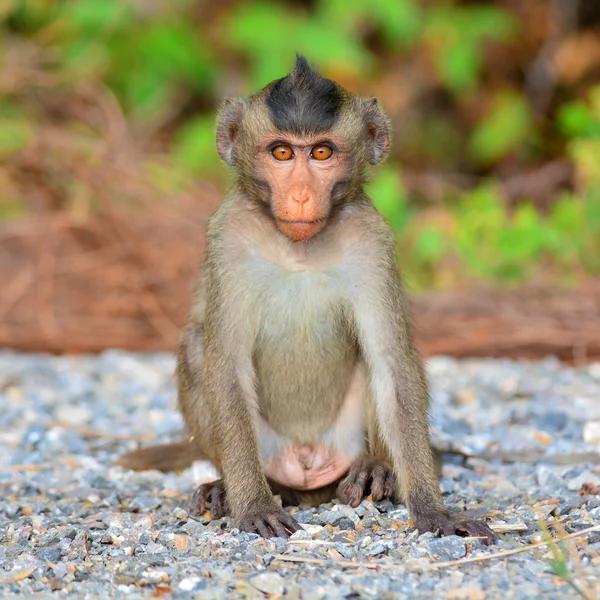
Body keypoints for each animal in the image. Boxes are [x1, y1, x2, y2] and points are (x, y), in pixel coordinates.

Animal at [118, 56, 496, 544]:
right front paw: (253, 504)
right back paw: (233, 486)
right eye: (282, 153)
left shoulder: (372, 240)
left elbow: (392, 362)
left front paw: (433, 510)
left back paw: (376, 469)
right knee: (197, 346)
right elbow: (225, 363)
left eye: (321, 153)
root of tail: (305, 463)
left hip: (343, 441)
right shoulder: (228, 237)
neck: (297, 248)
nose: (300, 196)